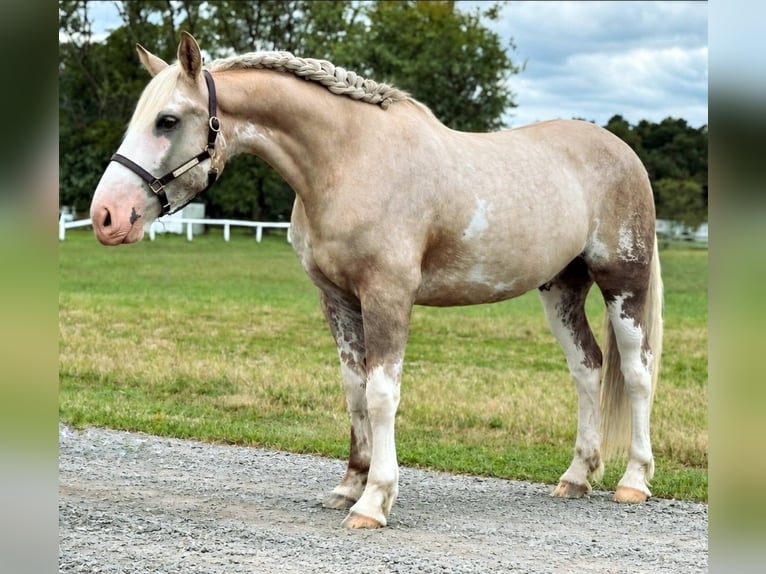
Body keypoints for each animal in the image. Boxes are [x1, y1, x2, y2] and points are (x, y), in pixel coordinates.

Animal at [90, 32, 663, 529]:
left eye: (167, 120)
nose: (106, 216)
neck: (349, 160)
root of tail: (622, 151)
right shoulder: (338, 300)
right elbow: (355, 389)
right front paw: (350, 485)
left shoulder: (387, 295)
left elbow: (383, 393)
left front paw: (374, 501)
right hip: (562, 288)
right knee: (588, 368)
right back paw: (576, 476)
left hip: (622, 283)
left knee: (637, 372)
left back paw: (633, 481)